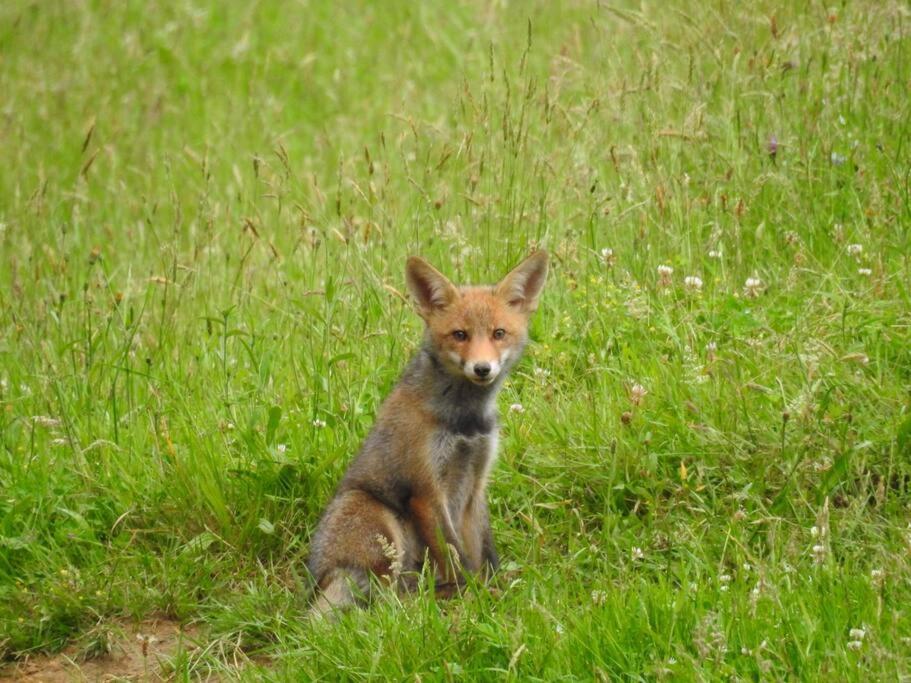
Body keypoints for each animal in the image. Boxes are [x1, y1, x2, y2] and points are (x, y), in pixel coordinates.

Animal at [306, 250, 548, 616]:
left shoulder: (475, 481)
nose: (482, 369)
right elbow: (457, 557)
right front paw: (476, 595)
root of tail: (318, 579)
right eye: (460, 335)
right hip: (378, 520)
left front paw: (493, 588)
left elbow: (482, 552)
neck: (465, 422)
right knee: (387, 604)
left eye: (498, 333)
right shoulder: (425, 487)